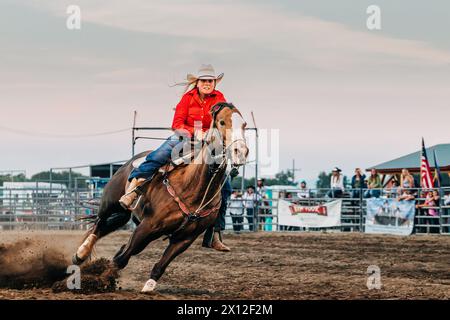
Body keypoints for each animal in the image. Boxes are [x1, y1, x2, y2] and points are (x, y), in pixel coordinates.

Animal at [74, 103, 250, 292]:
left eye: (244, 125)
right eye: (222, 122)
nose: (241, 151)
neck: (193, 186)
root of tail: (128, 163)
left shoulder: (185, 238)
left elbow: (160, 264)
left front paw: (148, 286)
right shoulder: (148, 225)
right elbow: (123, 258)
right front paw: (104, 279)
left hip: (124, 215)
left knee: (106, 227)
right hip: (112, 202)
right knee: (100, 223)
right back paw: (80, 253)